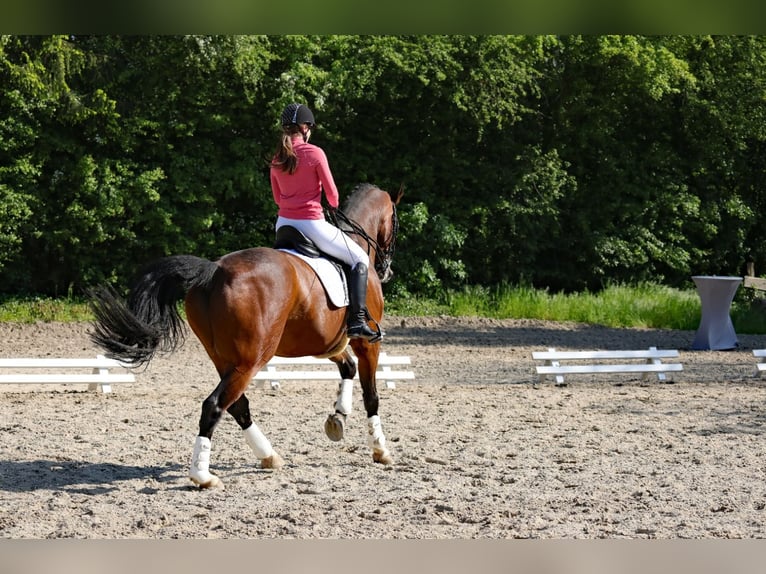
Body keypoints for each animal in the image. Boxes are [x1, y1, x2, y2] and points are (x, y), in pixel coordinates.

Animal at [88, 184, 402, 490]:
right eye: (395, 221)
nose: (387, 269)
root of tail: (214, 270)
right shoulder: (366, 343)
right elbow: (371, 396)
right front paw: (380, 450)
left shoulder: (326, 343)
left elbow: (347, 368)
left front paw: (338, 416)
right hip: (251, 361)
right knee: (215, 405)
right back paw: (203, 476)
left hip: (225, 359)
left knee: (237, 405)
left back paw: (268, 456)